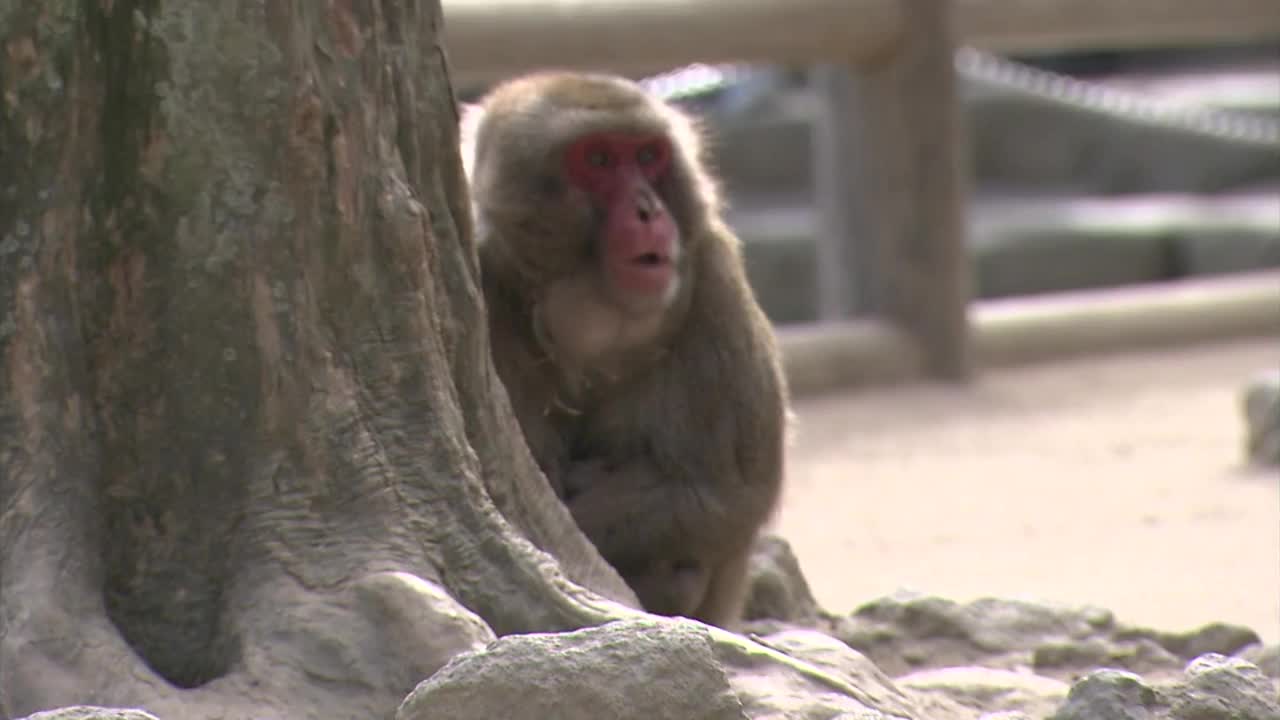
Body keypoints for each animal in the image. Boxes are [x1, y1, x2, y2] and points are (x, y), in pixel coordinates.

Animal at [465, 70, 783, 625]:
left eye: (648, 156)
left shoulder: (714, 278)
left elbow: (730, 495)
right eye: (598, 159)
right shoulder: (486, 279)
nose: (648, 210)